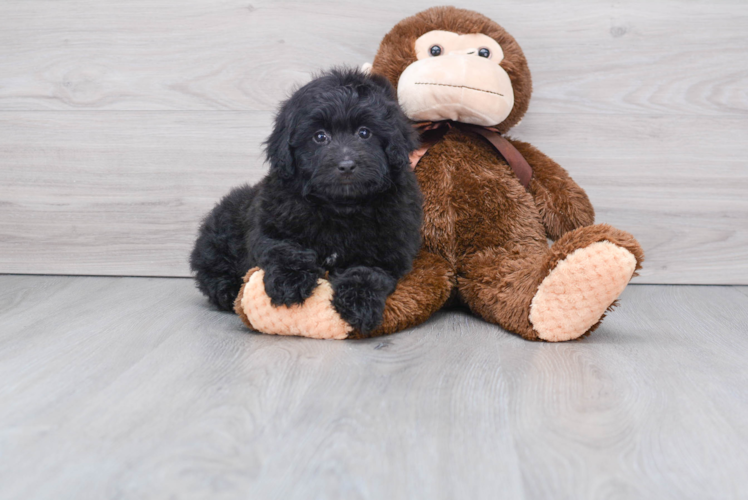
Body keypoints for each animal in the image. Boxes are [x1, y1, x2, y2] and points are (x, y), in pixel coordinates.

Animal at [190, 66, 424, 332]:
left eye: (364, 133)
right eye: (320, 137)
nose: (346, 165)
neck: (340, 208)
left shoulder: (390, 247)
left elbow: (368, 271)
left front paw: (359, 302)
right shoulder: (271, 225)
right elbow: (284, 248)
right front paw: (290, 281)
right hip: (220, 228)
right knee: (210, 268)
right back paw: (228, 290)